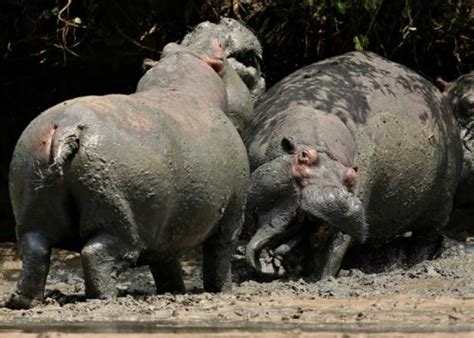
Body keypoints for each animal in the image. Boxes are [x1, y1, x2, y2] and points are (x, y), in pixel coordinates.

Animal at [6, 41, 252, 308]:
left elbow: (166, 265)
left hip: (34, 208)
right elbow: (219, 257)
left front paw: (174, 291)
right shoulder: (232, 215)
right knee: (97, 254)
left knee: (35, 251)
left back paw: (23, 301)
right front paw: (223, 291)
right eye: (223, 56)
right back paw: (104, 298)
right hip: (118, 218)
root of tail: (66, 127)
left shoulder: (165, 232)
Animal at [244, 50, 462, 278]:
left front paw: (323, 280)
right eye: (303, 155)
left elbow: (336, 248)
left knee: (425, 239)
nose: (335, 198)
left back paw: (414, 263)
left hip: (439, 208)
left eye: (351, 176)